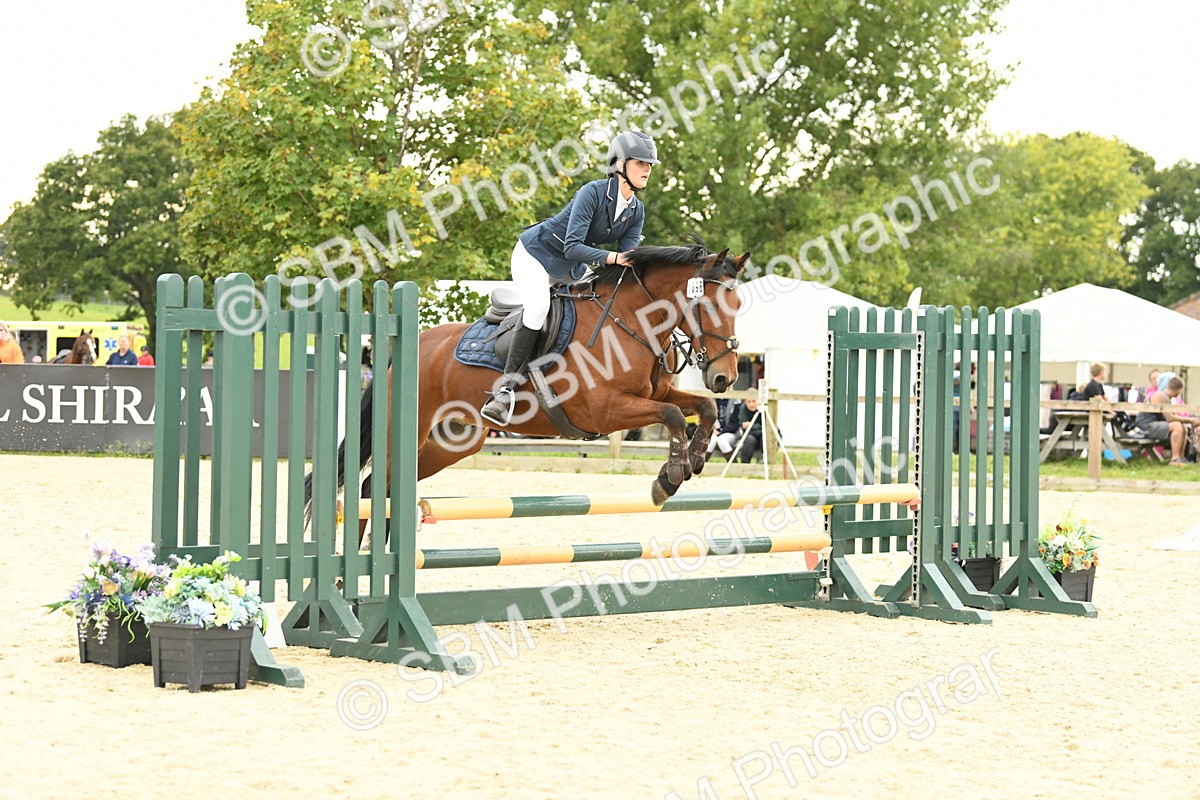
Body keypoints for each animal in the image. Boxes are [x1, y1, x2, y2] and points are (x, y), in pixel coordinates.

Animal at [309, 240, 749, 531]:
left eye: (739, 305)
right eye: (707, 304)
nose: (724, 376)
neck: (629, 321)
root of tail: (412, 345)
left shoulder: (652, 395)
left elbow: (703, 407)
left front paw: (695, 459)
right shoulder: (605, 410)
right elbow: (673, 414)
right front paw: (669, 478)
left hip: (452, 441)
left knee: (377, 488)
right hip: (407, 433)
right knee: (371, 489)